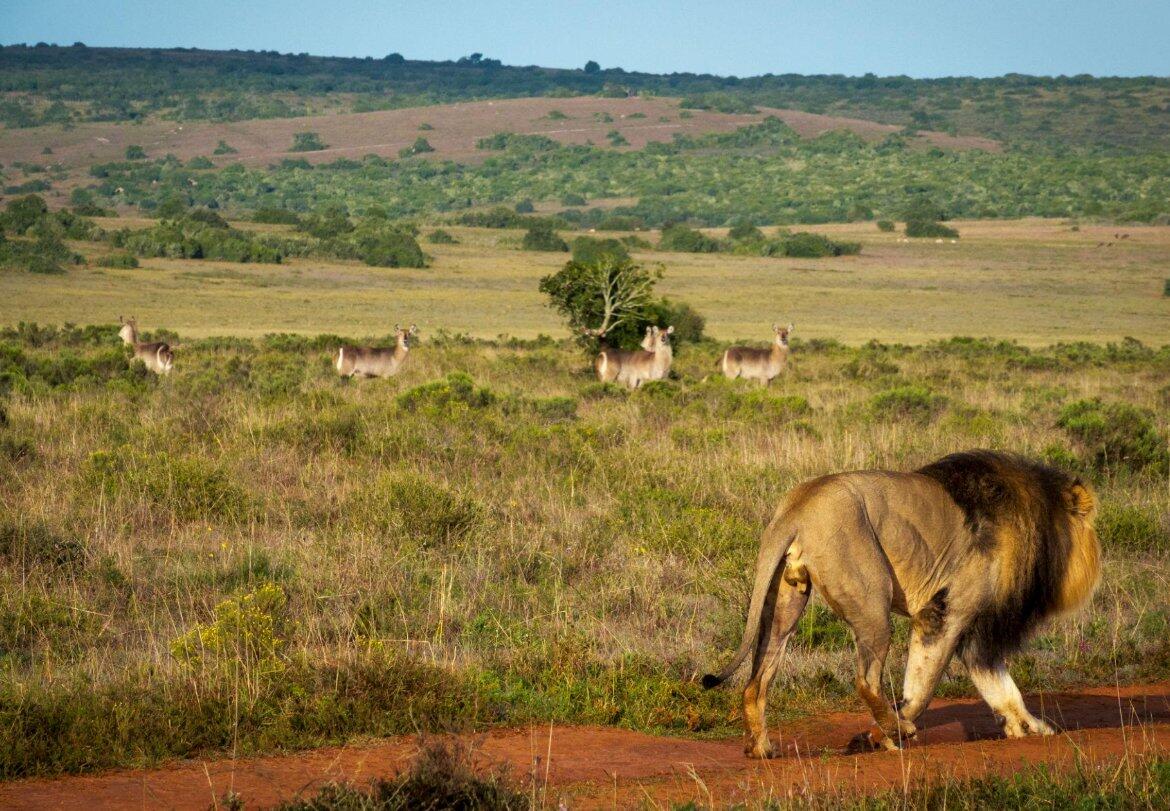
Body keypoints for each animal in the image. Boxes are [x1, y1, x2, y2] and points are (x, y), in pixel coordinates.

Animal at [701, 450, 1100, 758]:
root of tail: (796, 509)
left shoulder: (973, 630)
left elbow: (999, 687)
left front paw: (1029, 728)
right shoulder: (946, 614)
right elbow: (922, 689)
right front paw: (883, 735)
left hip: (785, 601)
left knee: (757, 680)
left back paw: (760, 748)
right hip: (871, 600)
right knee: (865, 681)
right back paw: (899, 729)